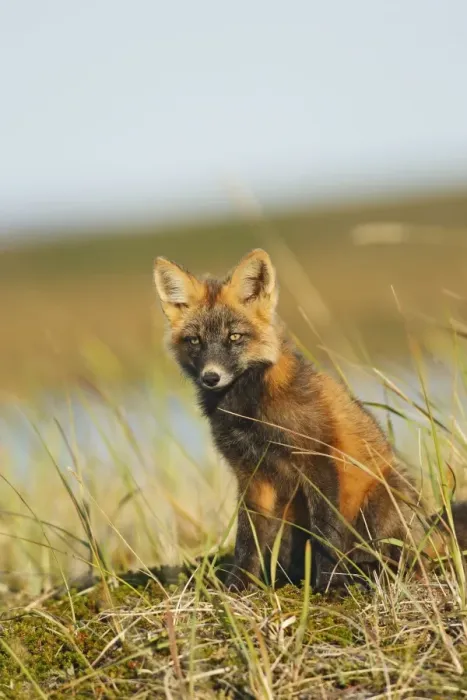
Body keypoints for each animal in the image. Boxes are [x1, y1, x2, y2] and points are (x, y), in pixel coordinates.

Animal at [154, 248, 467, 592]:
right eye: (194, 341)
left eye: (234, 337)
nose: (211, 377)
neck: (248, 413)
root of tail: (432, 527)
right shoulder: (250, 474)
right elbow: (247, 541)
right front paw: (237, 587)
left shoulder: (318, 459)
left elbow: (325, 534)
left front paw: (330, 586)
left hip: (380, 504)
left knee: (400, 558)